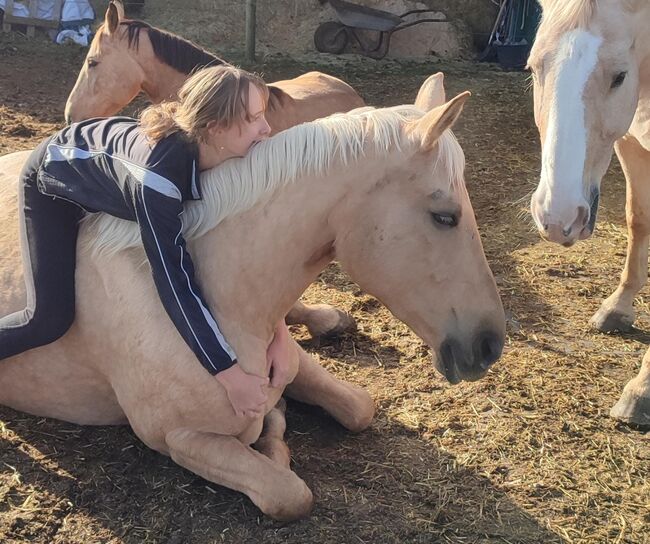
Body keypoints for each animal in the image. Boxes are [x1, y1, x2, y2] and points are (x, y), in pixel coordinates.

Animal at [0, 75, 504, 520]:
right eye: (444, 216)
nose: (489, 344)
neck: (225, 297)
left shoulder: (292, 361)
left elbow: (358, 406)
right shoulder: (181, 437)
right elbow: (289, 493)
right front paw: (274, 439)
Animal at [528, 0, 648, 424]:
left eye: (620, 76)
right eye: (533, 68)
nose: (558, 219)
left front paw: (642, 390)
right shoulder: (632, 143)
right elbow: (637, 219)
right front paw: (618, 308)